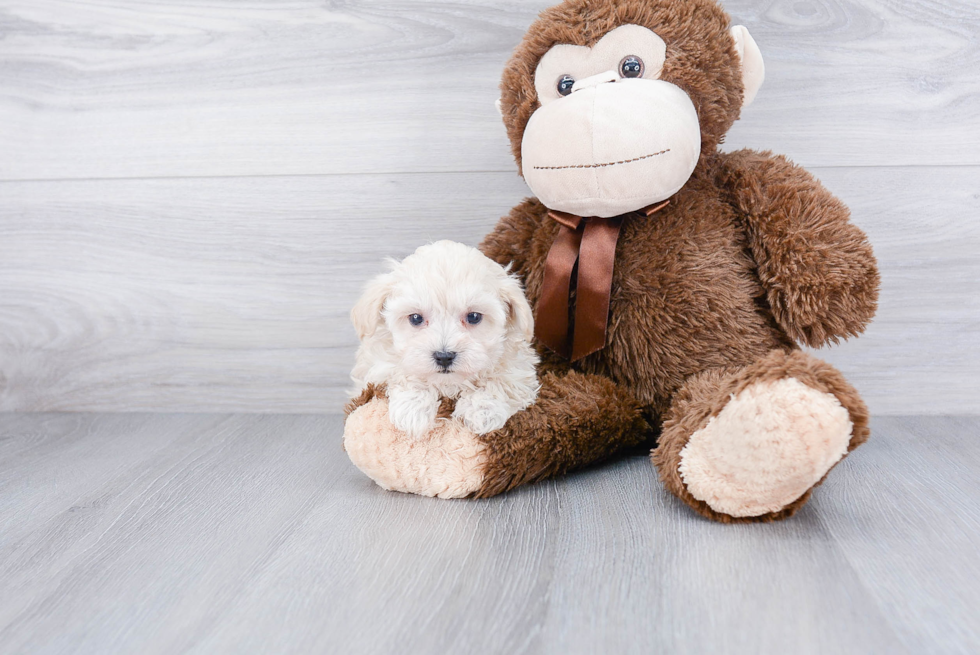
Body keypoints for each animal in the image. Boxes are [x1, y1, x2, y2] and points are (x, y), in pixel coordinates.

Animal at [350, 241, 540, 440]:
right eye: (416, 318)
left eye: (473, 317)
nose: (444, 356)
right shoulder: (375, 367)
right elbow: (400, 372)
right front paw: (413, 409)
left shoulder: (519, 369)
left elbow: (502, 381)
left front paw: (482, 409)